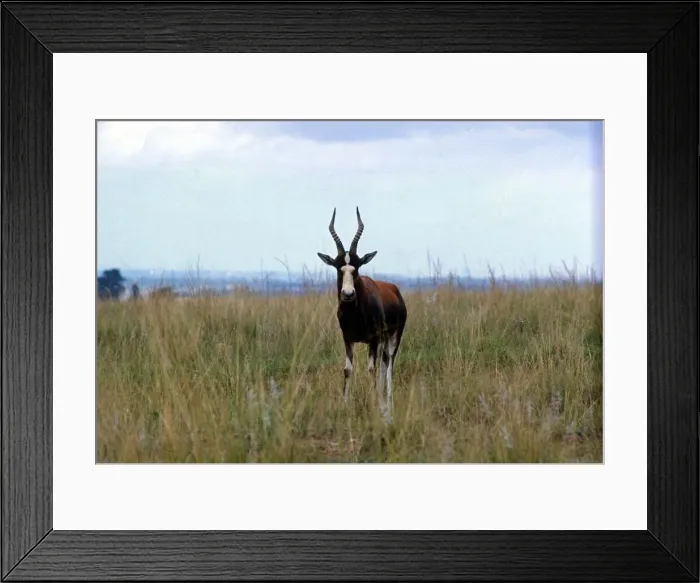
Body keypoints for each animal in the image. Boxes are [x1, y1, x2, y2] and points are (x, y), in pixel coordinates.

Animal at [317, 207, 407, 422]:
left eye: (356, 267)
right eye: (338, 268)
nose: (348, 294)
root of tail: (394, 289)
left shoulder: (373, 340)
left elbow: (371, 370)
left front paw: (375, 406)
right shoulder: (348, 339)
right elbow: (348, 369)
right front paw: (345, 405)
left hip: (393, 338)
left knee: (388, 366)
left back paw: (387, 406)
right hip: (383, 341)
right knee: (384, 365)